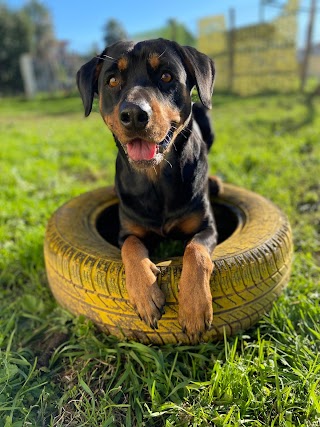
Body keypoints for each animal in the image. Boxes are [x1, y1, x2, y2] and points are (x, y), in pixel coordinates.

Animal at [76, 39, 219, 344]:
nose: (133, 115)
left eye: (166, 76)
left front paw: (194, 307)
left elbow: (196, 250)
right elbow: (131, 246)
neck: (156, 180)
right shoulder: (127, 229)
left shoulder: (207, 226)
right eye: (112, 80)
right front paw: (145, 295)